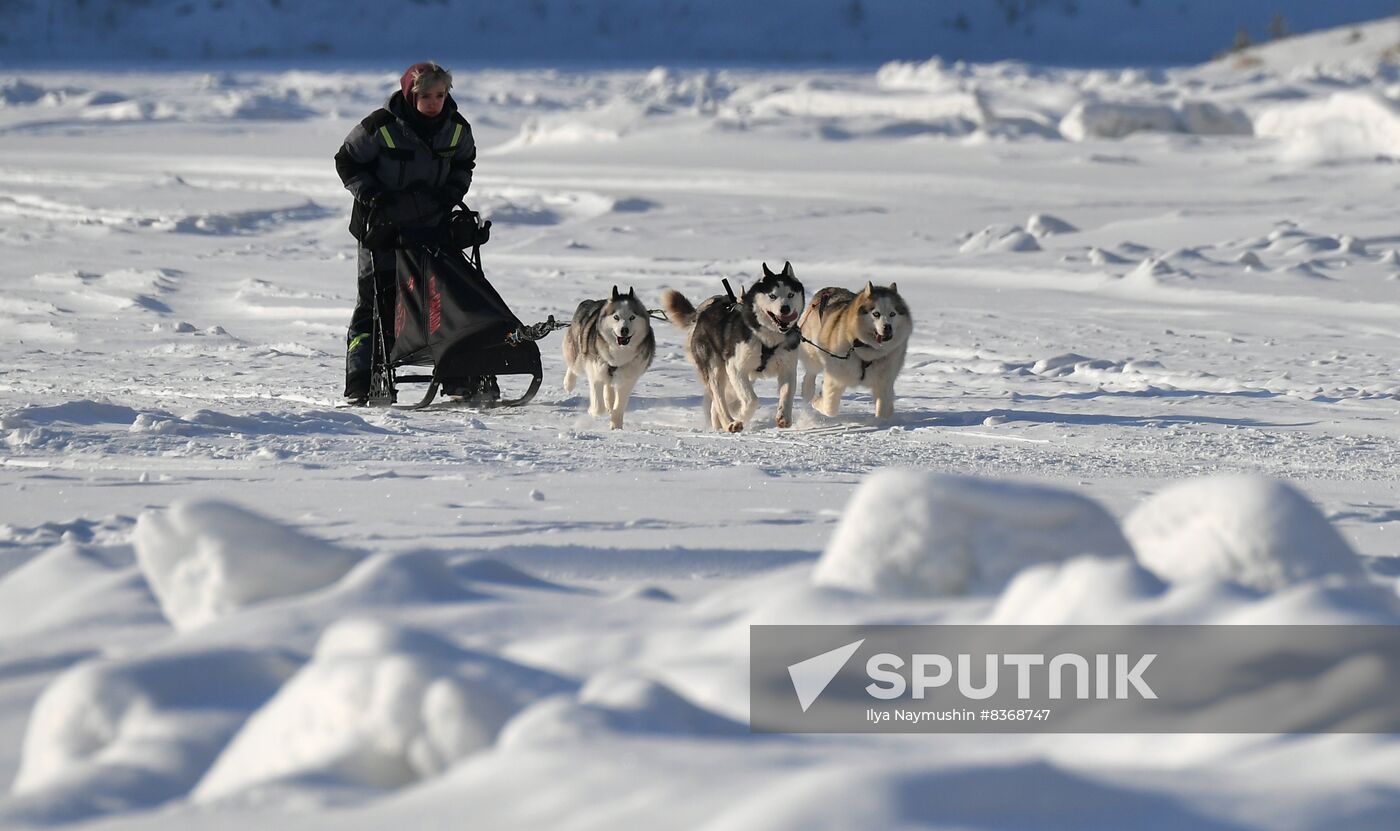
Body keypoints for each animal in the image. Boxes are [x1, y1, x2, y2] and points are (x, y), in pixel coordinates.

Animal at [562, 285, 655, 428]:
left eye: (632, 317)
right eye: (616, 317)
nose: (624, 330)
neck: (618, 352)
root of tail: (590, 302)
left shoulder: (628, 377)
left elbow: (620, 405)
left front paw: (616, 426)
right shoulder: (595, 370)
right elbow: (598, 406)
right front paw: (592, 411)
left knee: (609, 386)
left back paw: (609, 401)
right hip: (578, 353)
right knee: (573, 365)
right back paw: (569, 383)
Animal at [660, 263, 806, 433]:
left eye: (790, 294)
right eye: (772, 296)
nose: (785, 308)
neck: (768, 338)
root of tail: (702, 313)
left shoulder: (787, 368)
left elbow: (787, 394)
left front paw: (784, 417)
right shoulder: (735, 367)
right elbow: (752, 400)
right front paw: (741, 416)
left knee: (718, 404)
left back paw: (719, 425)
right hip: (716, 370)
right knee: (719, 400)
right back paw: (729, 423)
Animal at [806, 279, 912, 419]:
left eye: (892, 314)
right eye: (876, 314)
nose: (888, 327)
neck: (868, 350)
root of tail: (828, 289)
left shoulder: (884, 382)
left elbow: (884, 410)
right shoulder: (836, 377)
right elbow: (830, 408)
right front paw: (817, 401)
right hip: (812, 351)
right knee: (810, 371)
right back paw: (807, 390)